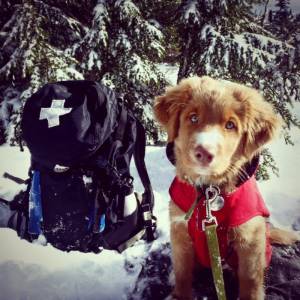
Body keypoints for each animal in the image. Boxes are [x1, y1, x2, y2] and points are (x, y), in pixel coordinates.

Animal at [154, 77, 298, 300]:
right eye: (193, 117)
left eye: (230, 125)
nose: (204, 153)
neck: (208, 192)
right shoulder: (179, 231)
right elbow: (182, 272)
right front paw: (179, 294)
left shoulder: (249, 241)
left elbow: (250, 283)